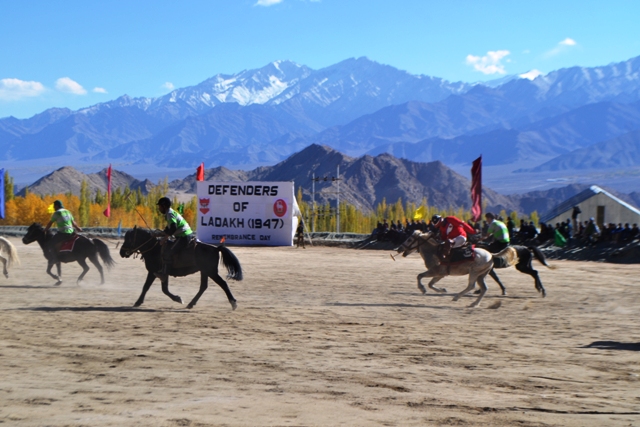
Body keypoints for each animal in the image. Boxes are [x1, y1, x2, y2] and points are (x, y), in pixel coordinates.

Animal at [396, 231, 552, 308]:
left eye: (409, 239)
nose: (399, 249)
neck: (435, 251)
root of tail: (491, 255)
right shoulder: (440, 274)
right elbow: (430, 283)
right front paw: (442, 290)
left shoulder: (436, 272)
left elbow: (420, 277)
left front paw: (422, 289)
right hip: (482, 275)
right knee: (484, 288)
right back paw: (474, 303)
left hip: (475, 273)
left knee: (471, 286)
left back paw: (457, 297)